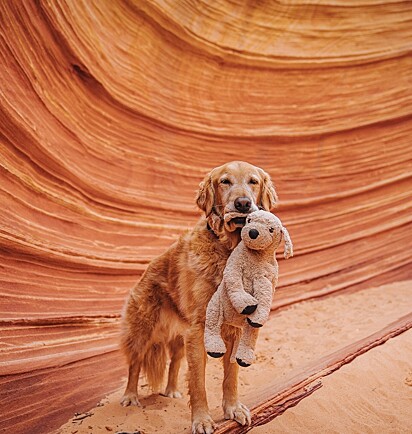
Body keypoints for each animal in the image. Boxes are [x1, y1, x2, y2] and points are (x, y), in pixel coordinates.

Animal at [120, 160, 278, 434]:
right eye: (225, 181)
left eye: (253, 181)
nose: (243, 203)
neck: (228, 249)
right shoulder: (200, 329)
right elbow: (198, 382)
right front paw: (202, 420)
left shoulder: (233, 328)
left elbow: (231, 375)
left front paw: (233, 408)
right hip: (143, 328)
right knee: (135, 362)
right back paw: (130, 397)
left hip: (179, 337)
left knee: (174, 362)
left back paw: (171, 391)